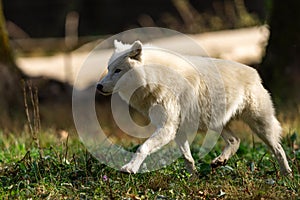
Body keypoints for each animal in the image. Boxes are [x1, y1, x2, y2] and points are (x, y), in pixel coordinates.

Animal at [97, 39, 292, 176]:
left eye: (118, 70)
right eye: (108, 68)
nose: (98, 86)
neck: (155, 78)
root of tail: (254, 72)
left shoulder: (167, 128)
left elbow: (142, 147)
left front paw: (129, 168)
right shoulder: (178, 130)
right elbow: (187, 158)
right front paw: (193, 179)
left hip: (260, 126)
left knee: (278, 148)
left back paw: (286, 175)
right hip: (217, 124)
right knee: (235, 140)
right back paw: (220, 161)